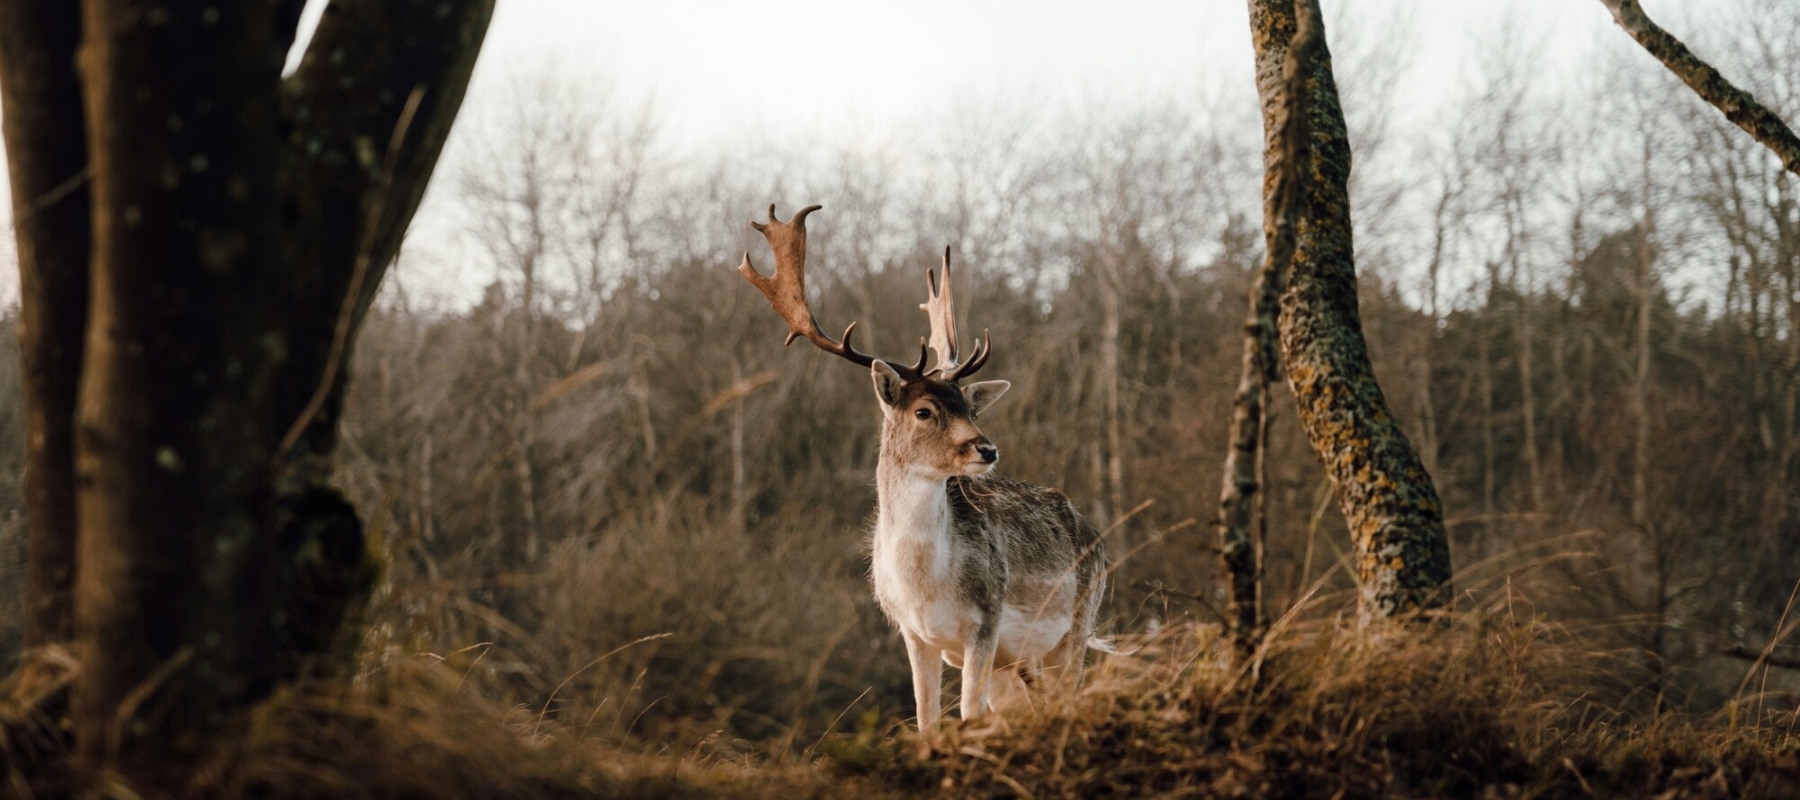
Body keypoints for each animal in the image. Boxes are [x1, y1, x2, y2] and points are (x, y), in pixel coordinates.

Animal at [734, 202, 1108, 727]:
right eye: (924, 411)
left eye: (970, 408)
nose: (986, 450)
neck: (926, 589)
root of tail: (1097, 537)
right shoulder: (913, 634)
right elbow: (925, 720)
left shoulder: (987, 619)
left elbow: (967, 714)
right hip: (1022, 661)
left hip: (1077, 625)